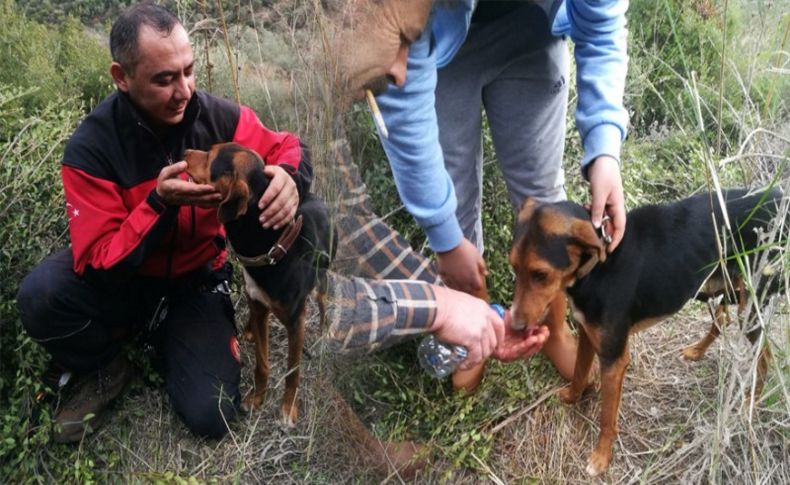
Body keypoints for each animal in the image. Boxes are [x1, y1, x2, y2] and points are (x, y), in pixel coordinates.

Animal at [186, 142, 334, 426]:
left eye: (210, 156)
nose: (185, 153)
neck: (272, 247)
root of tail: (318, 198)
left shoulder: (297, 320)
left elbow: (293, 372)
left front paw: (287, 409)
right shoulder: (255, 299)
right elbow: (262, 364)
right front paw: (256, 399)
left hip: (321, 282)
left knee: (322, 304)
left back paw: (324, 333)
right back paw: (249, 329)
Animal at [510, 187, 784, 474]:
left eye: (541, 274)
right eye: (513, 266)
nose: (514, 327)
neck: (597, 267)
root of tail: (777, 193)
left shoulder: (614, 359)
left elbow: (607, 417)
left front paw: (601, 458)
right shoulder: (587, 333)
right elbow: (579, 372)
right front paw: (572, 397)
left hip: (751, 305)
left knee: (763, 356)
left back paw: (750, 404)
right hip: (717, 286)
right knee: (723, 320)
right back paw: (697, 352)